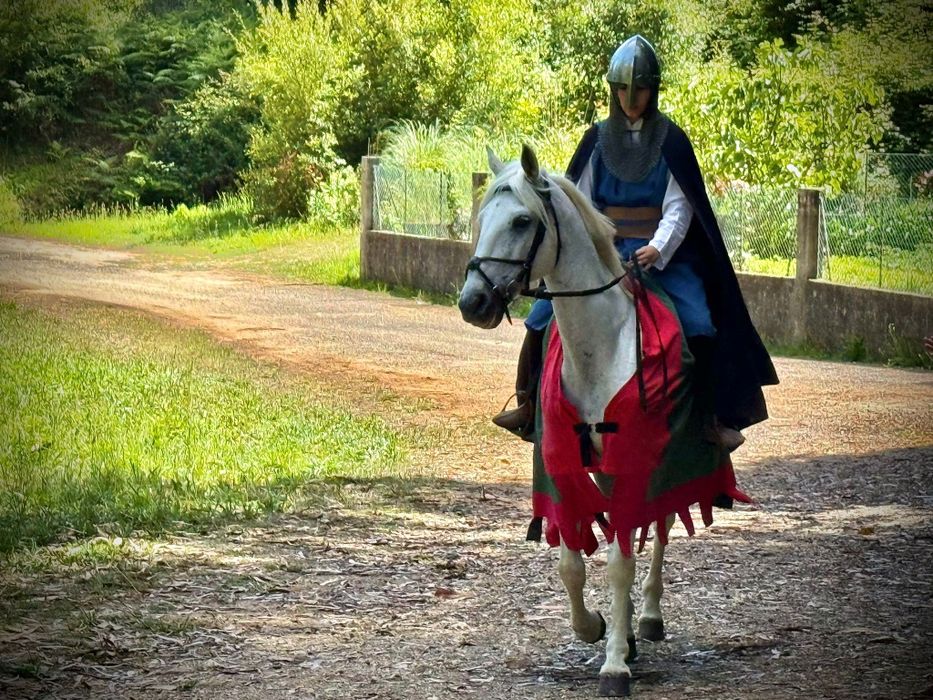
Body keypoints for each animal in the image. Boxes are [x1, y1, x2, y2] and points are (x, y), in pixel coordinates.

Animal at [458, 145, 747, 697]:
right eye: (483, 218)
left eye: (523, 220)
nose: (473, 302)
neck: (600, 346)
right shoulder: (559, 465)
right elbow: (572, 562)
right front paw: (595, 626)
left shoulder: (635, 462)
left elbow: (619, 561)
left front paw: (615, 660)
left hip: (669, 459)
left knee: (659, 524)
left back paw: (649, 616)